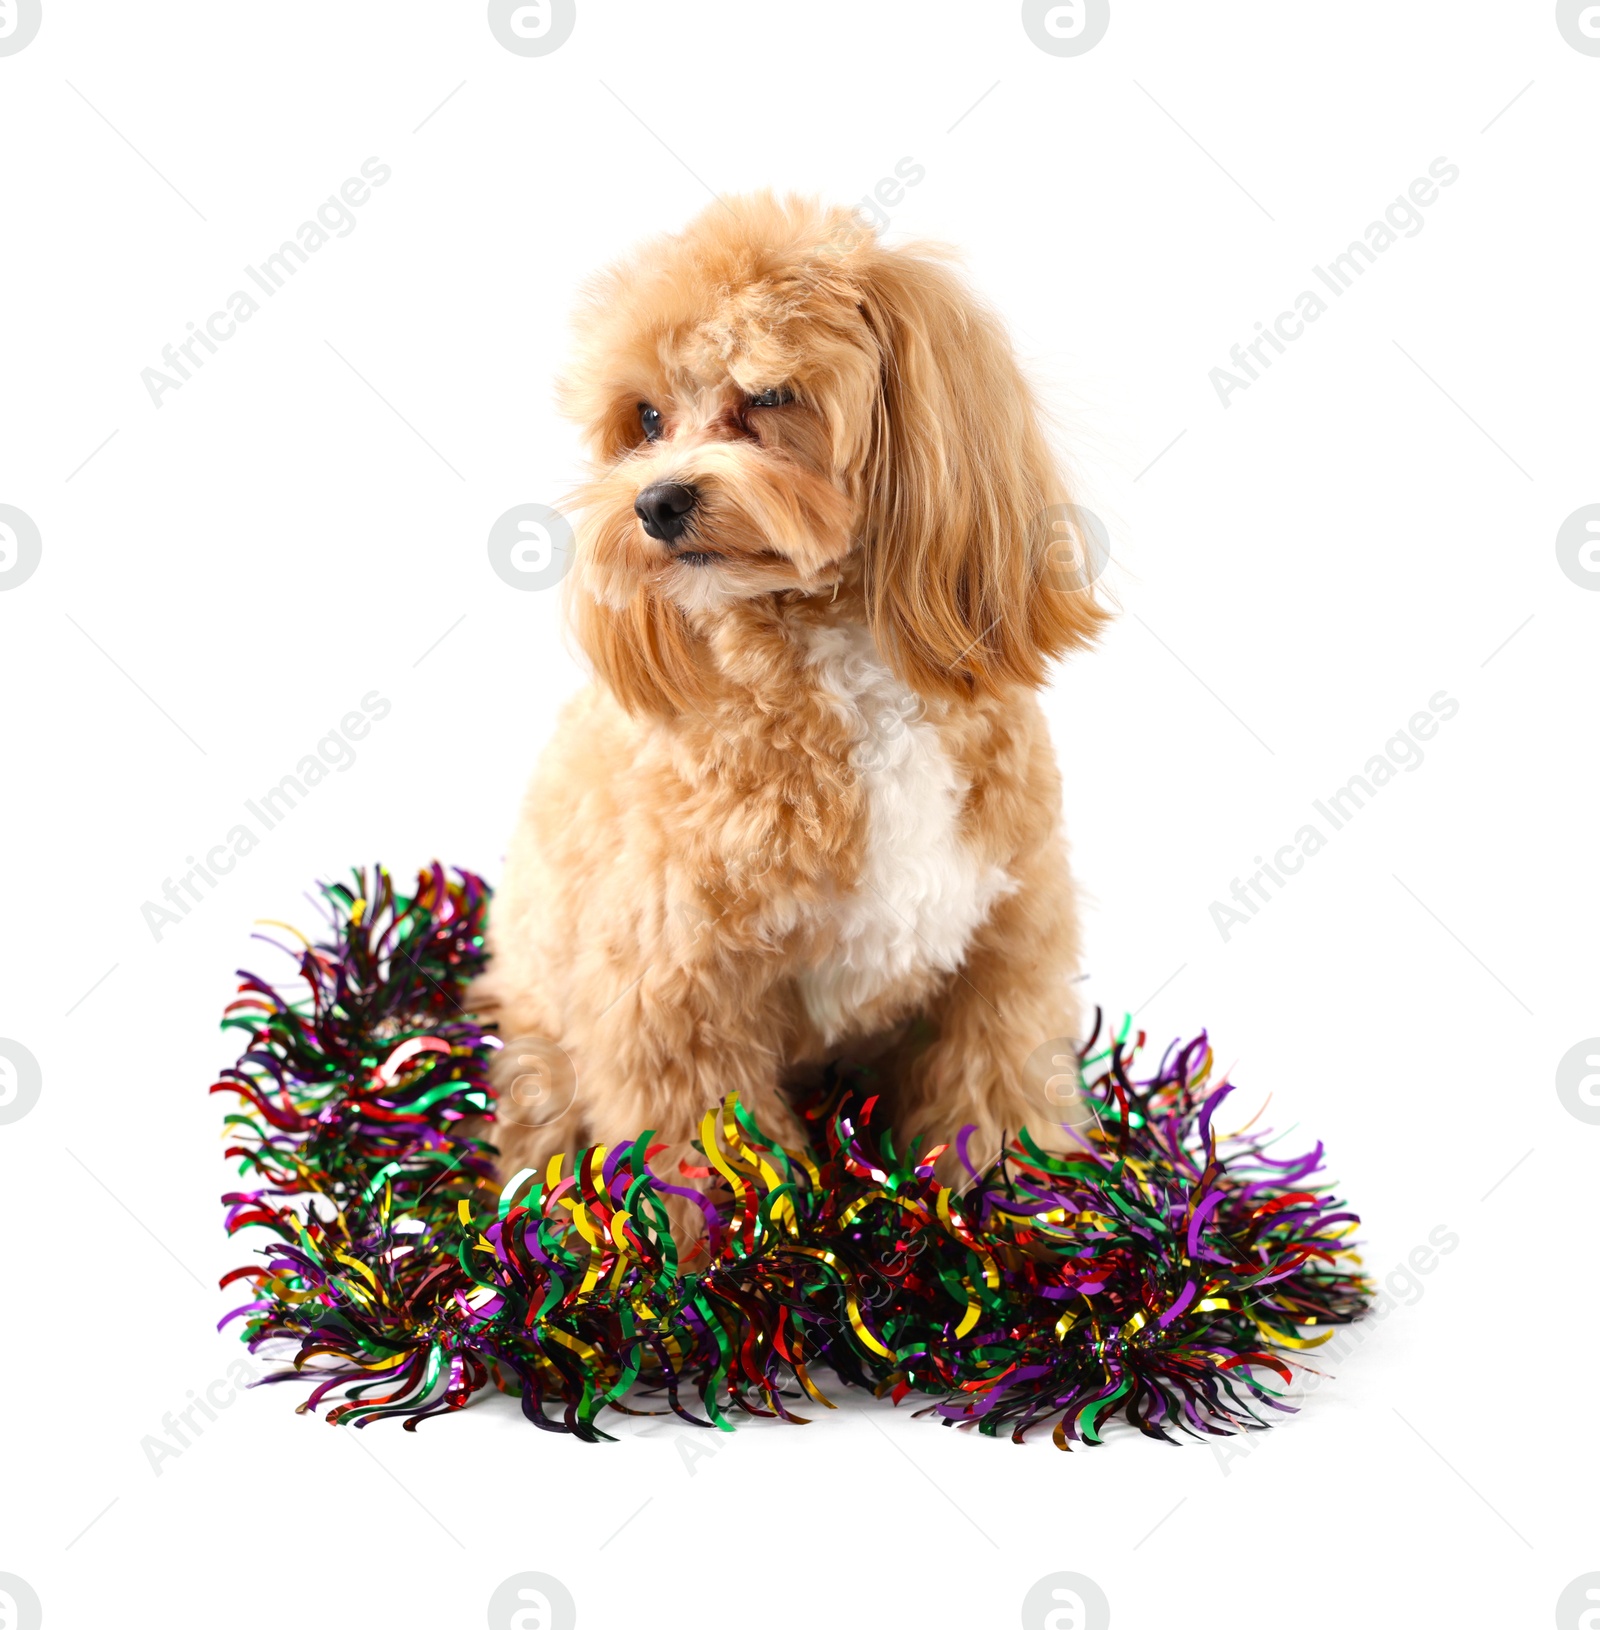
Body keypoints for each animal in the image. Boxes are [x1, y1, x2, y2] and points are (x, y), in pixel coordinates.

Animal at [469, 190, 1107, 1232]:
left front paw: (1019, 1234)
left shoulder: (1006, 955)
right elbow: (712, 1162)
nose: (656, 502)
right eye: (646, 417)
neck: (839, 665)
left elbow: (997, 1105)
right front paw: (735, 1263)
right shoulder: (674, 996)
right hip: (540, 1027)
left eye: (767, 398)